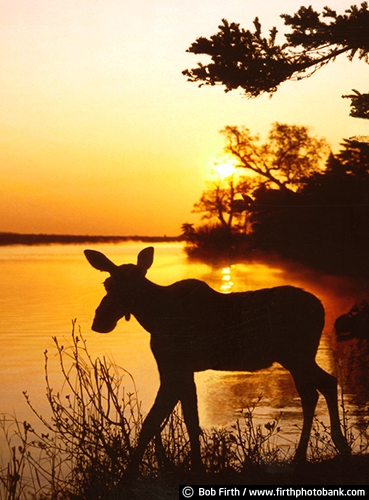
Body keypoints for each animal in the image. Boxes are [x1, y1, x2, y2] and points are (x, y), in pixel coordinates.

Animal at [85, 248, 350, 470]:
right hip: (298, 357)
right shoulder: (183, 369)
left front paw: (128, 476)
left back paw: (312, 453)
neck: (154, 316)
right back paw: (333, 447)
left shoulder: (174, 367)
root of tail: (322, 309)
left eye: (116, 287)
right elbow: (190, 422)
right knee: (323, 385)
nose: (99, 320)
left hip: (296, 356)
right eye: (107, 283)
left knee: (314, 391)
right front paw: (196, 467)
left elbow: (152, 422)